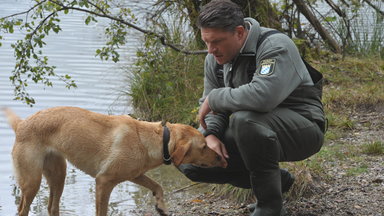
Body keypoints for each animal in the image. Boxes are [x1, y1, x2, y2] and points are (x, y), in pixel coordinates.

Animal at [3, 106, 225, 216]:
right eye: (204, 147)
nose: (221, 158)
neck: (150, 139)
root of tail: (22, 124)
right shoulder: (104, 181)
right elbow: (102, 212)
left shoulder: (135, 174)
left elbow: (158, 186)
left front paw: (161, 206)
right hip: (32, 181)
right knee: (22, 210)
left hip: (58, 176)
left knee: (52, 207)